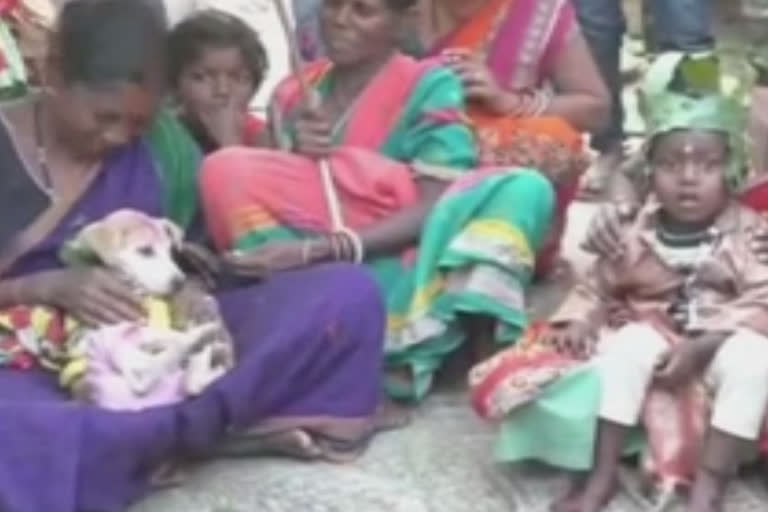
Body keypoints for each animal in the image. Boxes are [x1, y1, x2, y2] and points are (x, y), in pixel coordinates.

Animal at [63, 208, 234, 412]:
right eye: (145, 251)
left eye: (170, 251)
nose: (179, 283)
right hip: (126, 355)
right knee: (163, 366)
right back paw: (201, 337)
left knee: (191, 381)